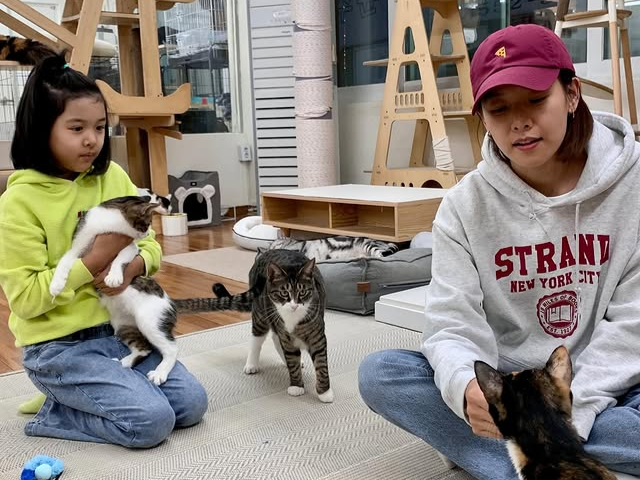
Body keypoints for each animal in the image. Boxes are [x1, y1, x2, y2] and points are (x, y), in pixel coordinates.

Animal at [49, 193, 179, 385]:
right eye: (147, 223)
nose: (148, 233)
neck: (108, 225)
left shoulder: (130, 246)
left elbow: (120, 257)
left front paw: (114, 277)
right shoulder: (79, 246)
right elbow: (64, 261)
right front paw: (56, 285)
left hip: (150, 320)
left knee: (171, 348)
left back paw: (159, 373)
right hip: (124, 325)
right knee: (144, 349)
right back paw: (124, 363)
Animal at [175, 248, 334, 403]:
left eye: (303, 292)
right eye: (284, 293)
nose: (294, 306)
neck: (293, 319)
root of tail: (265, 254)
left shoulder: (317, 336)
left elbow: (321, 364)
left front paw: (324, 393)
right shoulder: (283, 331)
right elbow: (291, 360)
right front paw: (296, 386)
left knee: (275, 339)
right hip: (261, 313)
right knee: (257, 339)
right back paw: (252, 364)